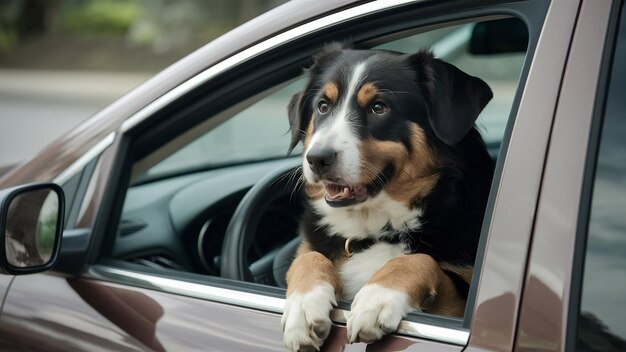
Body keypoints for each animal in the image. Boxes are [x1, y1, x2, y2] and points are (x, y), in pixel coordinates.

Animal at [282, 44, 492, 352]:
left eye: (378, 107)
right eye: (323, 106)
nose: (317, 159)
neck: (374, 230)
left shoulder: (459, 306)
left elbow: (417, 259)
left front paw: (376, 298)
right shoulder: (312, 245)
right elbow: (308, 258)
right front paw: (303, 308)